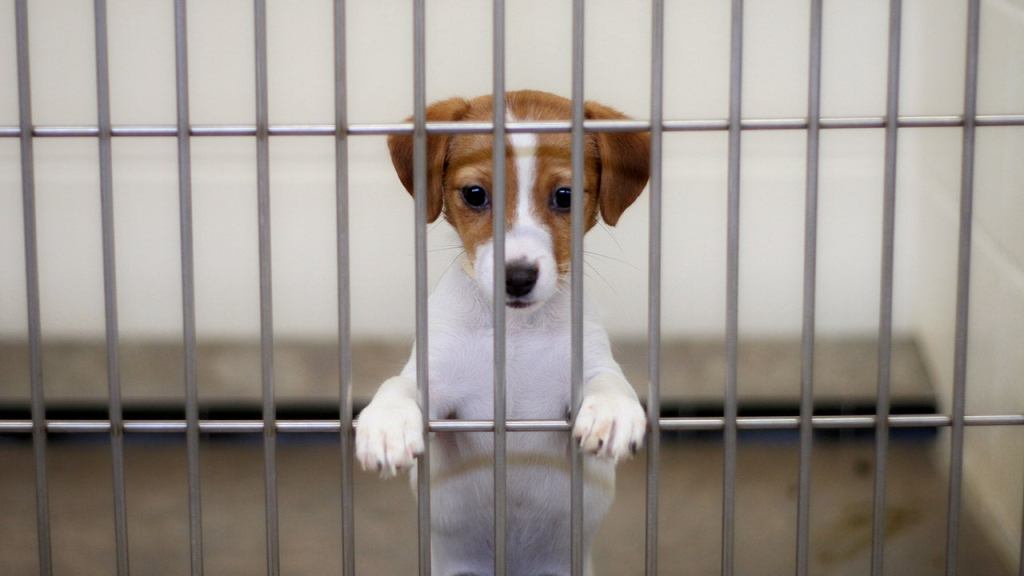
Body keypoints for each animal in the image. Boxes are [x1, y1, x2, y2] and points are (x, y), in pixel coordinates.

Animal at [356, 89, 651, 573]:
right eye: (476, 194)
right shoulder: (441, 393)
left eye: (566, 196)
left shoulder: (584, 366)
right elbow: (398, 385)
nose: (517, 277)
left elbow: (609, 381)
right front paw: (387, 424)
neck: (516, 333)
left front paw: (611, 412)